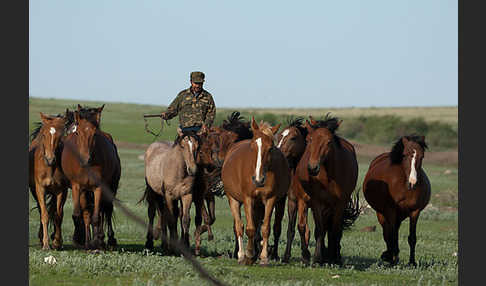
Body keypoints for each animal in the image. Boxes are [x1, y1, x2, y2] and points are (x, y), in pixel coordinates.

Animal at [28, 113, 70, 249]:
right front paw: (46, 244)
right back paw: (41, 238)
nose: (50, 159)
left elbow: (58, 215)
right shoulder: (40, 189)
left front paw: (57, 242)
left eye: (60, 136)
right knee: (41, 210)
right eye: (44, 135)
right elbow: (45, 215)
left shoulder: (62, 190)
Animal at [60, 105, 121, 250]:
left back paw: (108, 240)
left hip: (111, 186)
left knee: (107, 210)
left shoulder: (98, 188)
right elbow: (80, 214)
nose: (84, 159)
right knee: (89, 211)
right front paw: (82, 240)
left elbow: (96, 217)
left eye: (94, 134)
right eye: (77, 133)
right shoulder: (77, 187)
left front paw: (96, 242)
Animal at [220, 117, 288, 264]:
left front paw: (263, 257)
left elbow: (265, 228)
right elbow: (250, 228)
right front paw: (249, 255)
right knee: (239, 226)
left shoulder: (271, 199)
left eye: (270, 148)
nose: (258, 179)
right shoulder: (248, 199)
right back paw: (241, 255)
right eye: (252, 146)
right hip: (233, 199)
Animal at [292, 115, 360, 264]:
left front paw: (333, 257)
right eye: (309, 140)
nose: (312, 167)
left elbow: (335, 230)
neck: (330, 175)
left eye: (329, 142)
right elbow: (319, 229)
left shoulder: (340, 203)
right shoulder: (317, 202)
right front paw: (318, 257)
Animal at [362, 135, 430, 268]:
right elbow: (391, 235)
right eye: (404, 155)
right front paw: (390, 257)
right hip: (382, 213)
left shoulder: (415, 211)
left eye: (422, 156)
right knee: (388, 233)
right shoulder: (390, 210)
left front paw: (412, 262)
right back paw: (390, 256)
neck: (405, 186)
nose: (413, 182)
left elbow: (411, 238)